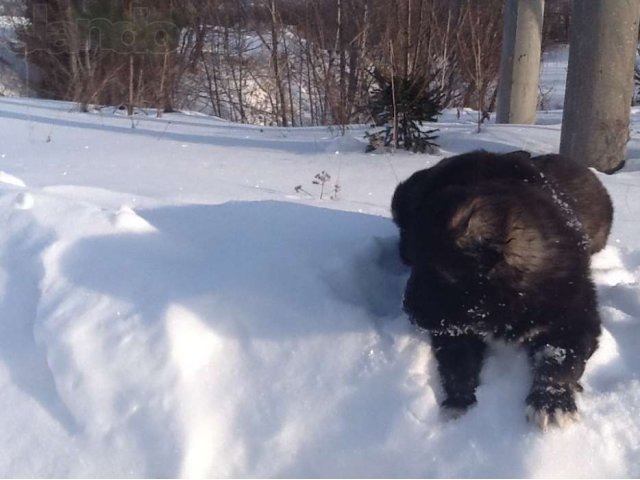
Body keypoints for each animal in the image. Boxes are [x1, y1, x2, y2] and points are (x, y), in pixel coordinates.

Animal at [396, 152, 608, 430]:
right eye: (416, 264)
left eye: (437, 272)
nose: (407, 310)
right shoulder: (454, 326)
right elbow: (457, 359)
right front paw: (458, 401)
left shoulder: (576, 317)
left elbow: (560, 359)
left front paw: (551, 402)